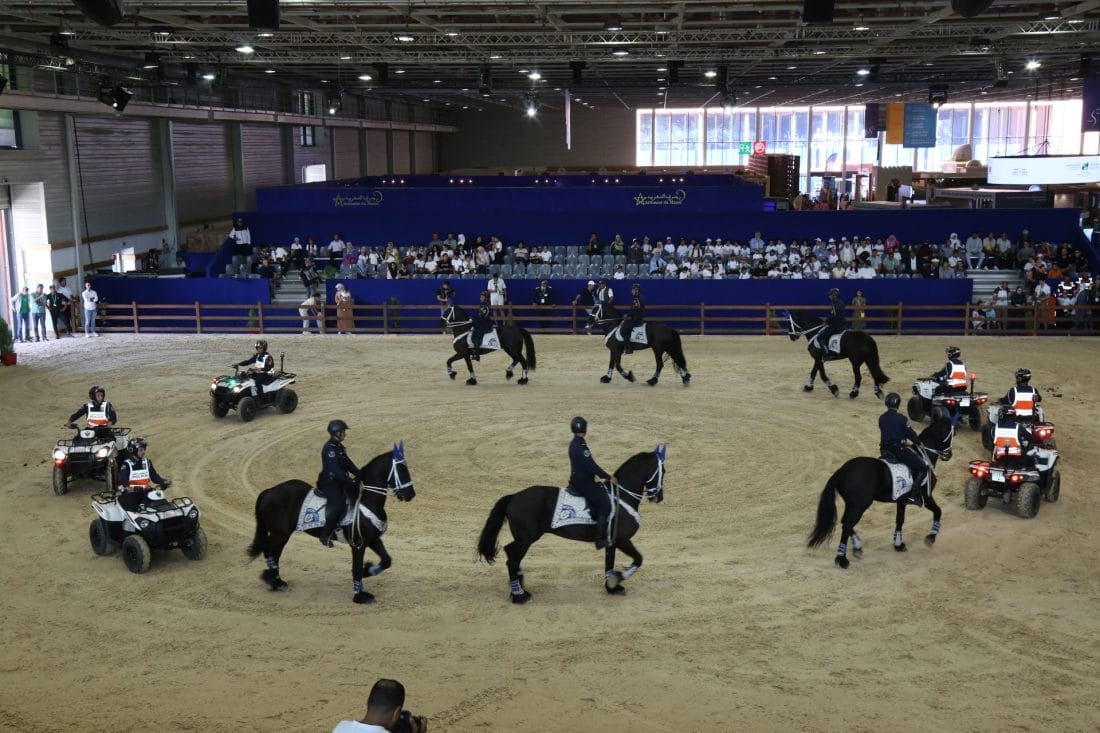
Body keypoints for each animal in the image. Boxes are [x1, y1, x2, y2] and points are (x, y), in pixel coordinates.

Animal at [246, 444, 415, 604]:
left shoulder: (373, 539)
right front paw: (360, 596)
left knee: (273, 553)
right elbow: (356, 569)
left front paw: (369, 571)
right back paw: (272, 579)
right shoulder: (358, 544)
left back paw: (277, 582)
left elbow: (387, 561)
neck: (366, 501)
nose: (411, 495)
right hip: (279, 533)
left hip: (283, 534)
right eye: (401, 469)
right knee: (268, 550)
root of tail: (269, 491)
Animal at [477, 445, 667, 603]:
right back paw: (519, 595)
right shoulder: (623, 540)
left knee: (511, 554)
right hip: (526, 538)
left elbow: (609, 563)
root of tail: (514, 496)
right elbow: (638, 559)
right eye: (662, 471)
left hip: (525, 538)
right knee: (512, 558)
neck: (621, 497)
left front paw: (611, 587)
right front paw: (617, 579)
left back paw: (520, 587)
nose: (658, 497)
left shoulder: (611, 541)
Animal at [806, 414, 956, 569]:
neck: (923, 456)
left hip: (852, 504)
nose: (948, 454)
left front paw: (898, 545)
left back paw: (857, 547)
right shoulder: (927, 497)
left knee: (845, 522)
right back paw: (842, 559)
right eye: (951, 433)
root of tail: (841, 471)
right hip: (860, 505)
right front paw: (930, 538)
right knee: (847, 525)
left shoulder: (902, 501)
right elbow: (938, 512)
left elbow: (900, 520)